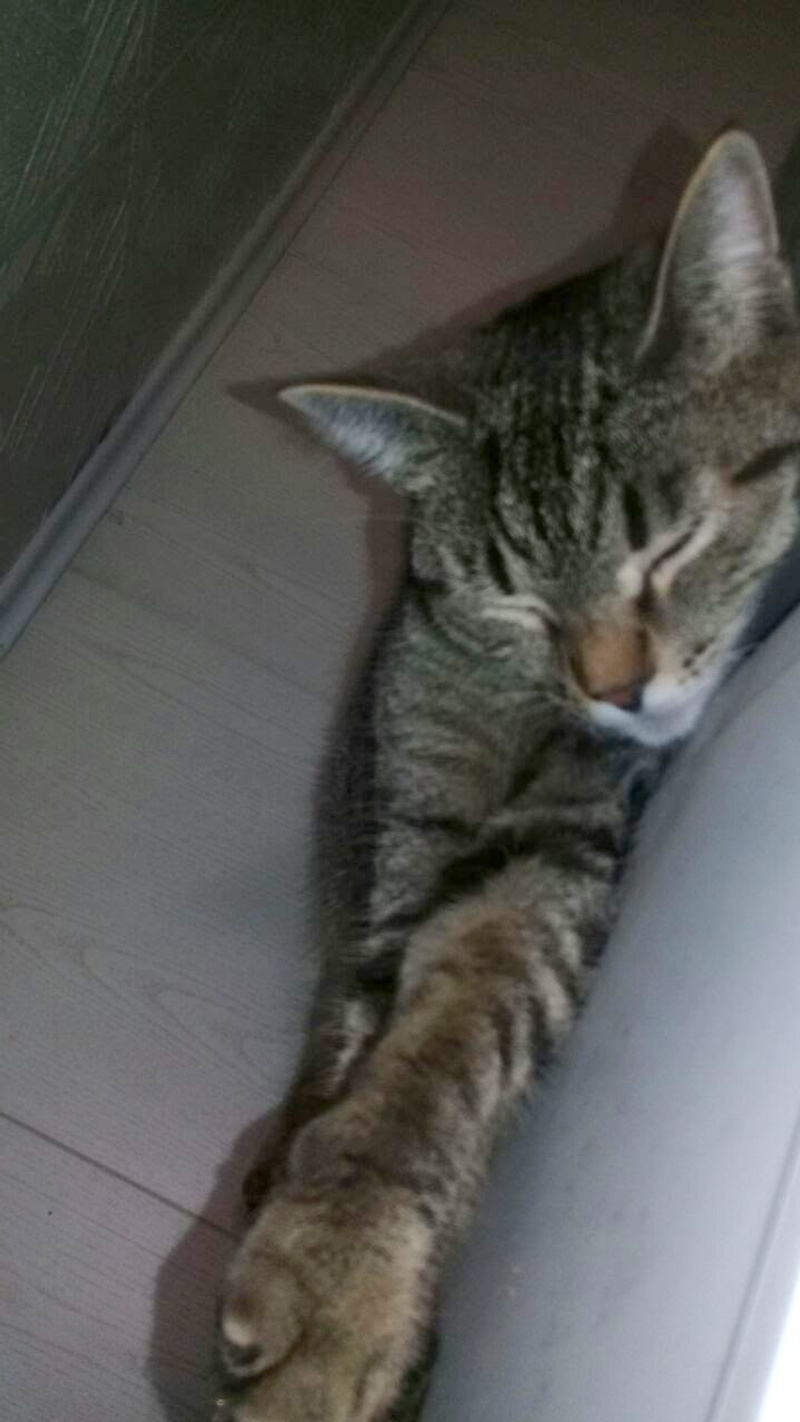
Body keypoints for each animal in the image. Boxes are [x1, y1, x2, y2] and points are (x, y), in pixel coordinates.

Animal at [214, 130, 800, 1421]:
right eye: (513, 600)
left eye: (669, 548)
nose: (617, 689)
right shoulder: (402, 829)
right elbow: (359, 1043)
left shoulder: (561, 840)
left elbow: (452, 1035)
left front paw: (337, 1287)